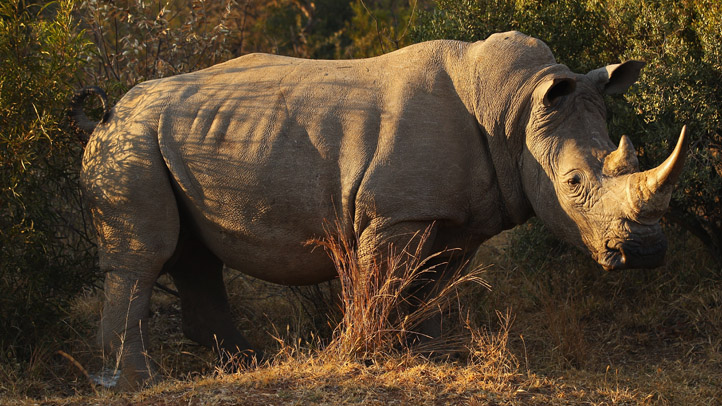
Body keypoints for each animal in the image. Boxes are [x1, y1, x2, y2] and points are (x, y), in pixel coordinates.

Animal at [73, 30, 688, 386]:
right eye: (574, 182)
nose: (647, 252)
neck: (515, 109)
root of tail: (108, 110)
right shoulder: (395, 214)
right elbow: (380, 279)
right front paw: (361, 354)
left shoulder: (460, 219)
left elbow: (436, 282)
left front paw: (434, 354)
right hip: (129, 141)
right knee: (144, 258)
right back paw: (136, 381)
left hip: (173, 135)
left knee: (195, 255)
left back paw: (241, 363)